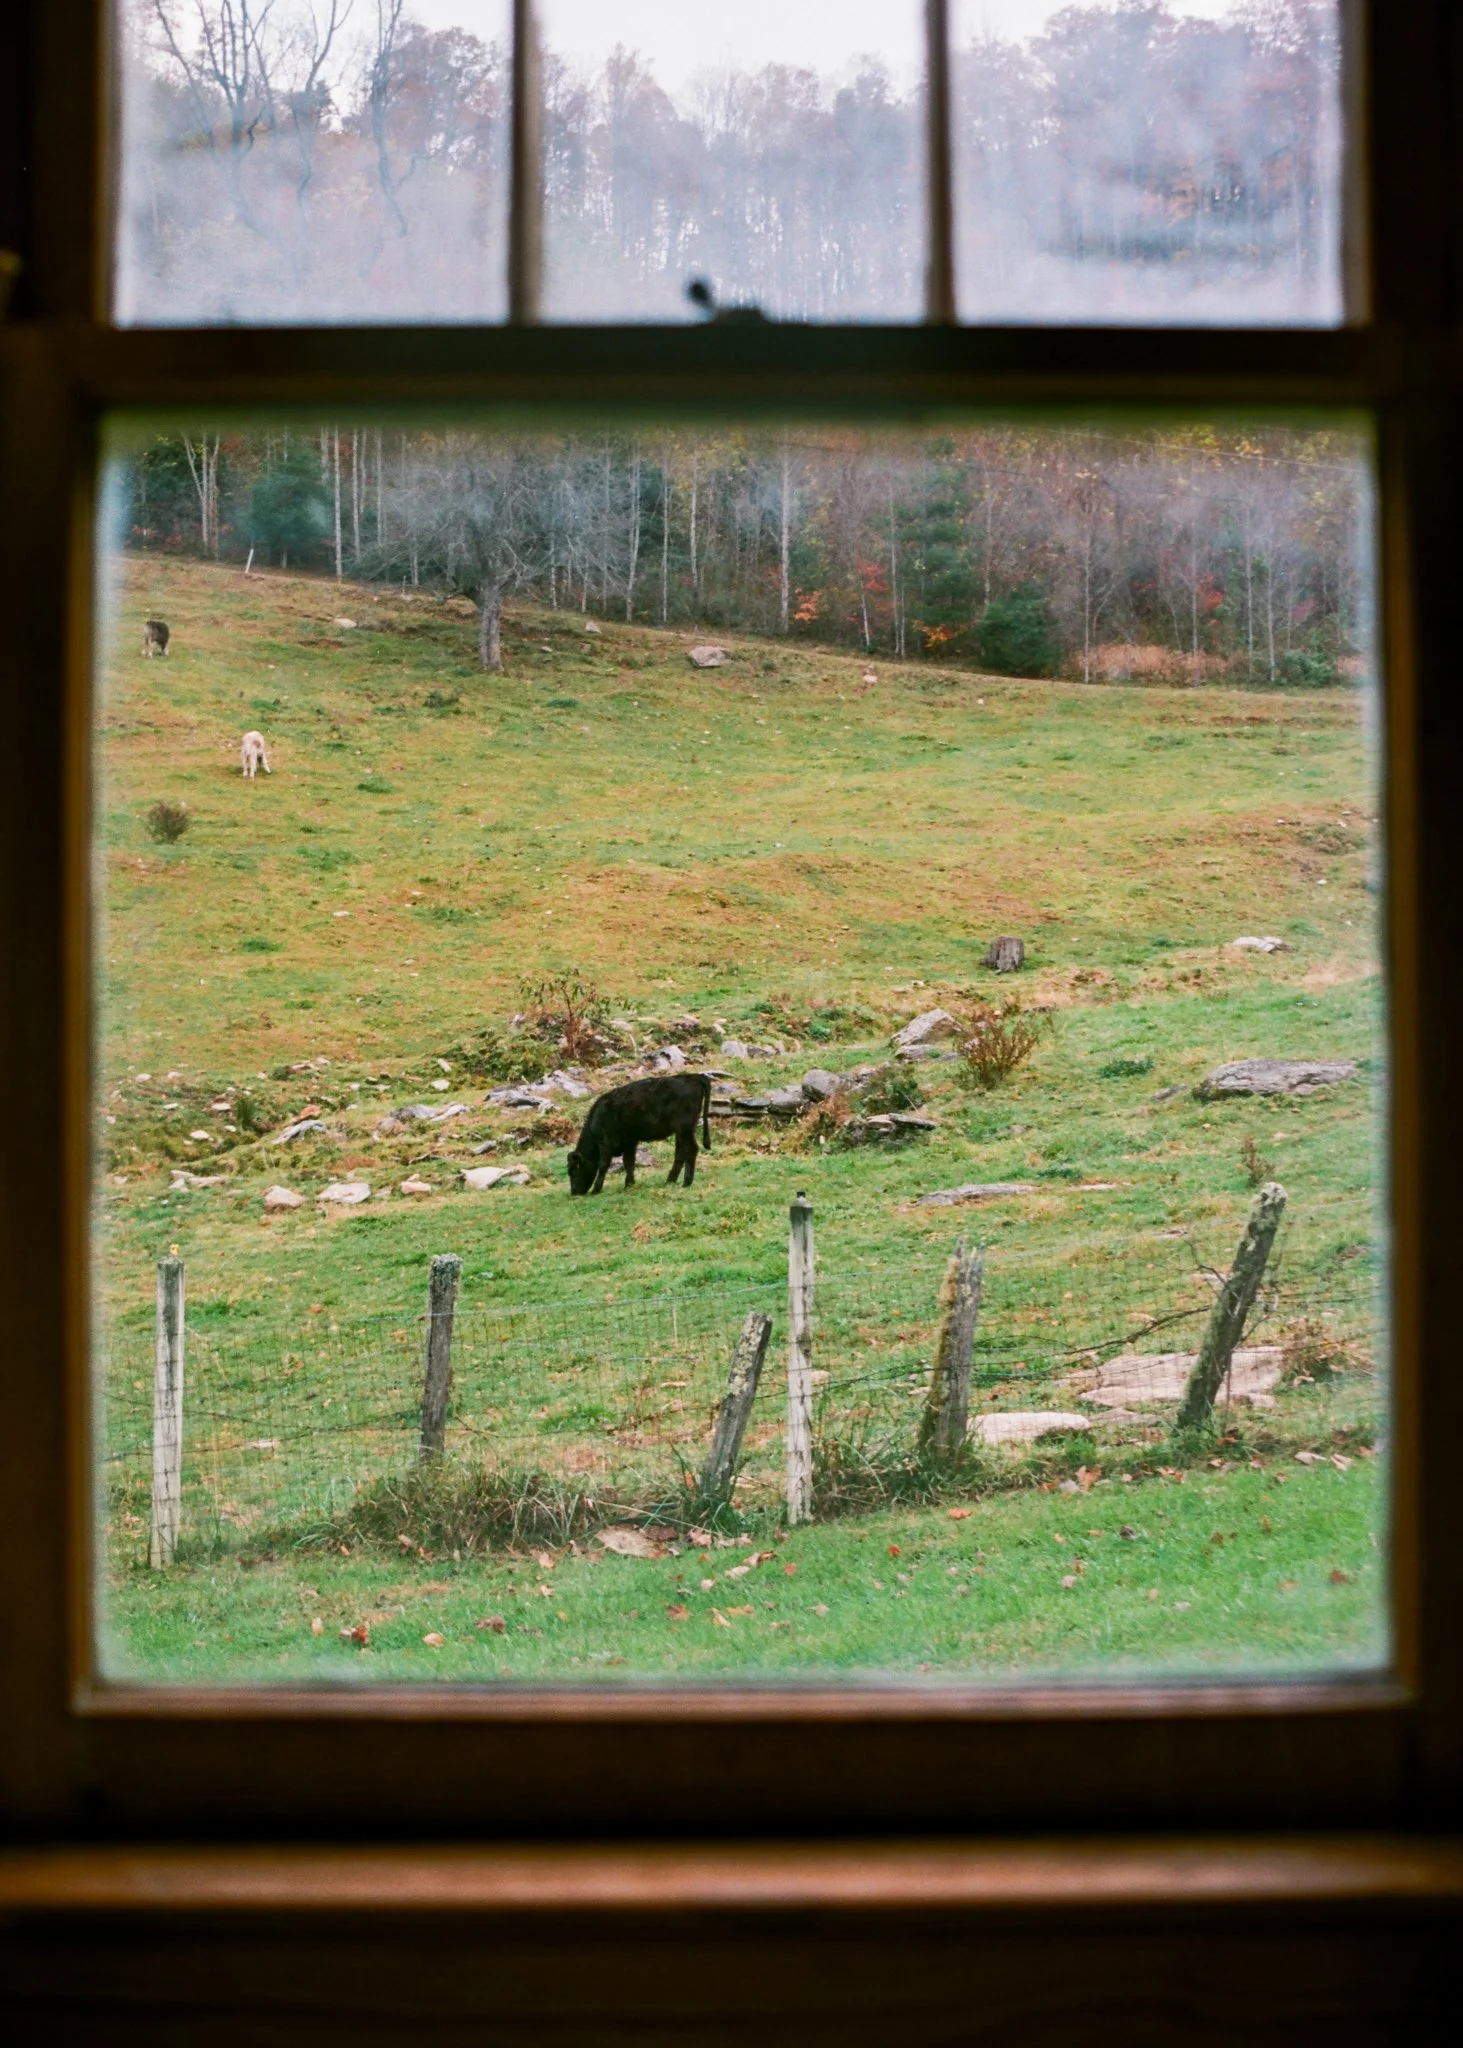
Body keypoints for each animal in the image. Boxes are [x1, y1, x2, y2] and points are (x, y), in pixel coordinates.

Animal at [567, 1074, 712, 1195]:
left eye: (574, 1170)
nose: (574, 1192)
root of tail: (694, 1077)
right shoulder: (630, 1141)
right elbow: (629, 1162)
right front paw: (629, 1185)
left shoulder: (607, 1142)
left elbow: (603, 1165)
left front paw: (596, 1190)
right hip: (681, 1131)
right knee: (680, 1153)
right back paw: (670, 1180)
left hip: (684, 1128)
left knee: (691, 1149)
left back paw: (686, 1182)